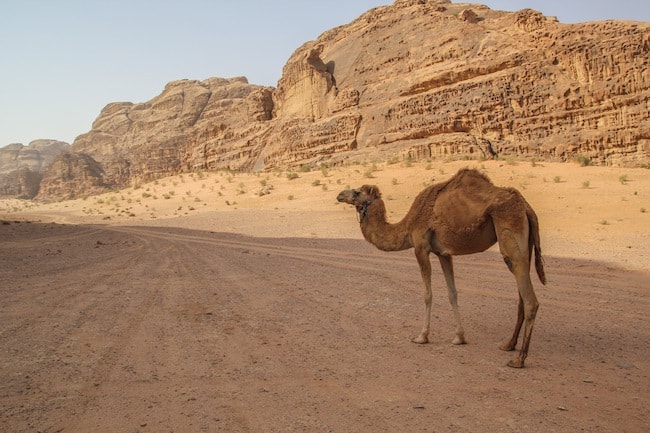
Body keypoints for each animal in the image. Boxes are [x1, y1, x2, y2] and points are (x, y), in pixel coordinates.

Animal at [336, 168, 546, 368]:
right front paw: (459, 337)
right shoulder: (443, 254)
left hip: (510, 230)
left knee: (530, 300)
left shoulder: (421, 247)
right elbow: (452, 293)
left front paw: (422, 336)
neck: (407, 225)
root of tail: (527, 207)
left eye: (357, 192)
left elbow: (427, 294)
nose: (339, 194)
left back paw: (518, 359)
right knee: (521, 293)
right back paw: (508, 345)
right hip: (524, 245)